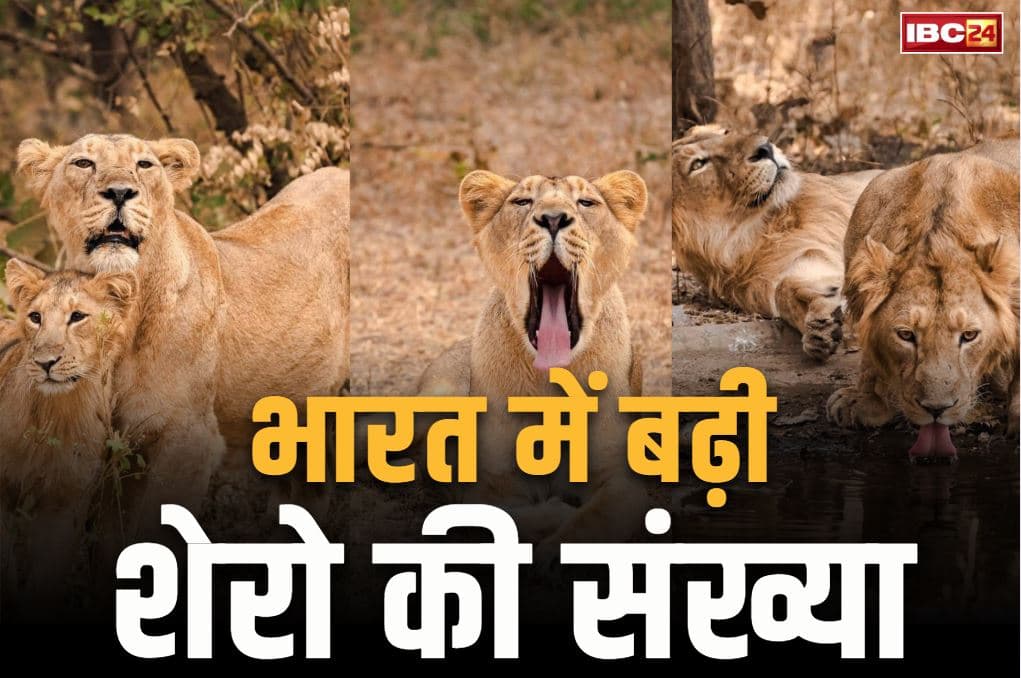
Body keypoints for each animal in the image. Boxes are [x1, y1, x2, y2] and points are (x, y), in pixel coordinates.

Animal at [0, 259, 136, 616]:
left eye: (78, 317)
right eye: (35, 317)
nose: (45, 362)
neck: (55, 413)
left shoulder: (65, 501)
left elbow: (45, 573)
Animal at [418, 170, 649, 542]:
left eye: (586, 202)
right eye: (522, 201)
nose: (553, 218)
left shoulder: (623, 480)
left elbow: (591, 520)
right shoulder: (488, 484)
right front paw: (556, 510)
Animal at [672, 125, 882, 360]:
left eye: (726, 132)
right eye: (698, 164)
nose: (765, 148)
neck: (766, 227)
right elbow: (784, 289)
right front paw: (819, 327)